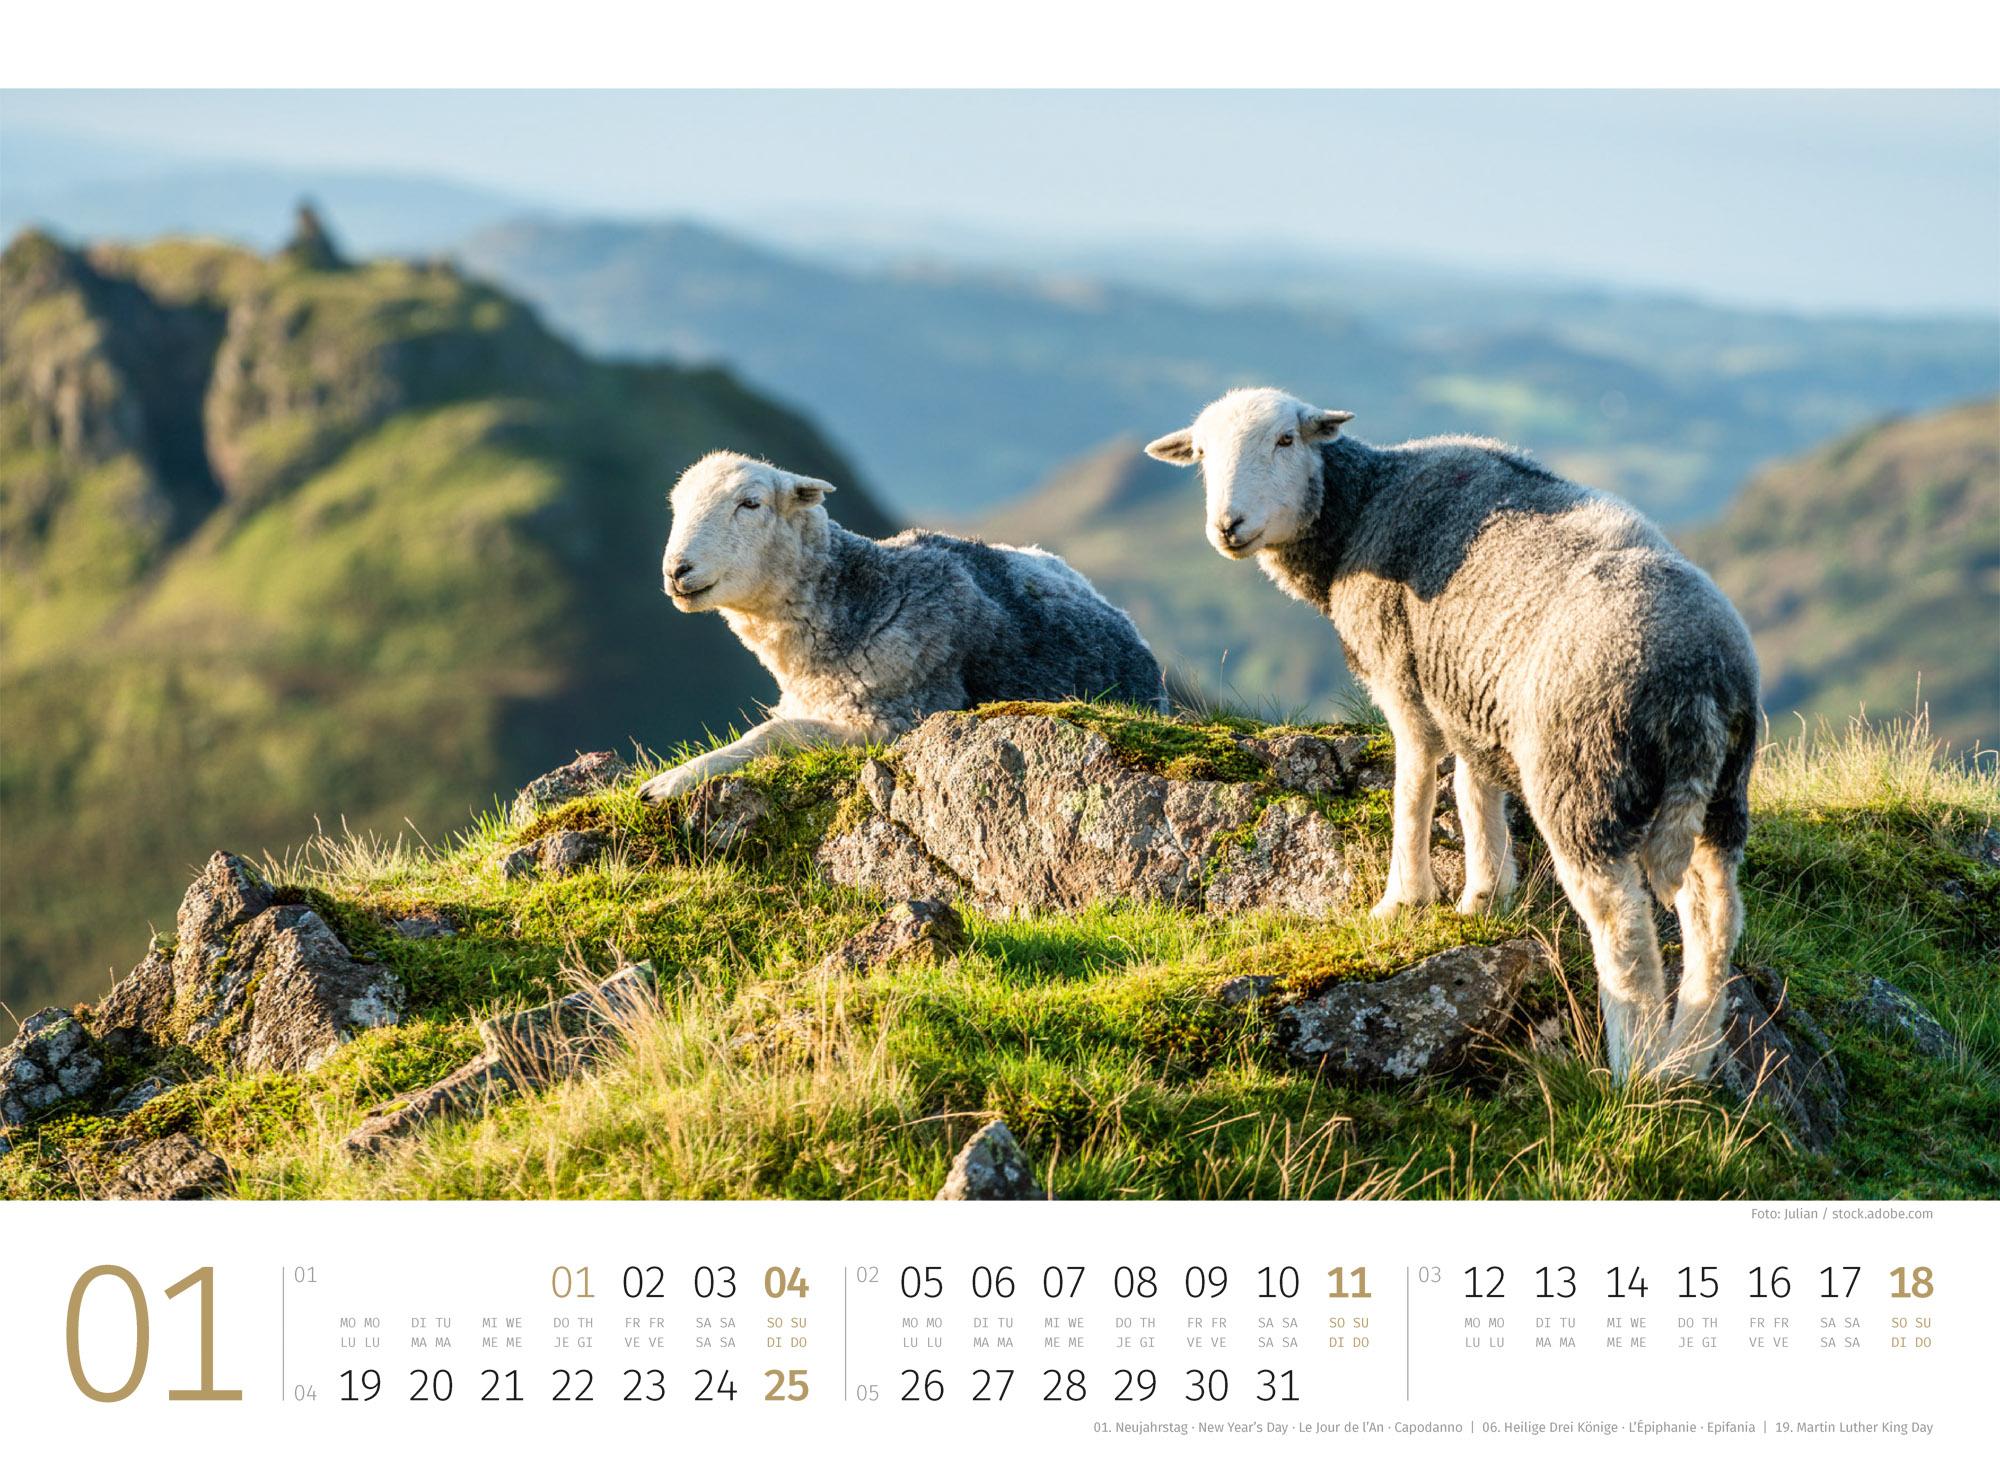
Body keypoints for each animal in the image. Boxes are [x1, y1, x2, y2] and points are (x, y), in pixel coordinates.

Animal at [638, 451, 1166, 803]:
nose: (676, 570)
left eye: (750, 503)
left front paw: (667, 782)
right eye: (676, 507)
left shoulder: (896, 720)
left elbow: (772, 735)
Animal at [1146, 388, 1759, 1082]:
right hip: (1722, 791)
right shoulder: (1470, 692)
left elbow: (1413, 787)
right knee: (1715, 913)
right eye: (1201, 454)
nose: (1228, 525)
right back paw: (1688, 1057)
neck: (1361, 509)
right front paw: (1486, 896)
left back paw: (1633, 1067)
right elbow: (1473, 789)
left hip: (1581, 773)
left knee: (1622, 922)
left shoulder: (1403, 675)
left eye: (1285, 440)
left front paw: (1402, 900)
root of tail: (1696, 679)